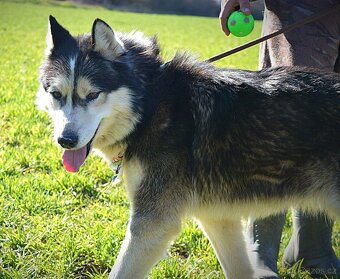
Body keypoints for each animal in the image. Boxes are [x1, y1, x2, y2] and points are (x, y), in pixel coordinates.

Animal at [35, 17, 338, 279]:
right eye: (56, 94)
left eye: (93, 95)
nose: (65, 140)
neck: (150, 104)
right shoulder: (218, 217)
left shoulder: (154, 222)